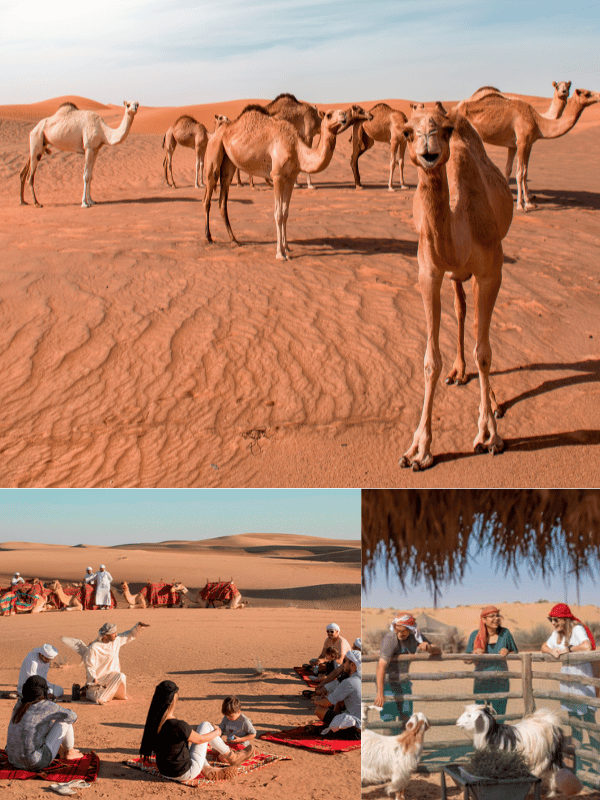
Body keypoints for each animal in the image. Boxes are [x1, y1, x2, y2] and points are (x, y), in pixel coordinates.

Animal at [203, 105, 370, 260]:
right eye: (328, 115)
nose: (343, 116)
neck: (297, 149)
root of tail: (216, 133)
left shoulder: (290, 178)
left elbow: (285, 213)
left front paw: (287, 247)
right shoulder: (277, 176)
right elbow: (278, 214)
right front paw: (280, 253)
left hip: (229, 164)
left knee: (222, 201)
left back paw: (234, 240)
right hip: (213, 153)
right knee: (207, 197)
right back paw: (208, 238)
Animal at [398, 106, 516, 468]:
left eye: (446, 130)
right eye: (407, 132)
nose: (428, 149)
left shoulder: (491, 271)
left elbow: (485, 353)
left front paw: (489, 435)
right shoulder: (429, 273)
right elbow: (429, 361)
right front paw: (419, 449)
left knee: (477, 326)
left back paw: (492, 401)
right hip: (454, 276)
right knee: (461, 309)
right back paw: (459, 371)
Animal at [454, 89, 600, 211]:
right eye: (587, 93)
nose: (599, 95)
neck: (538, 122)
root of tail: (455, 108)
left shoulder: (521, 145)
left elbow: (518, 171)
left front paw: (527, 202)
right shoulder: (522, 142)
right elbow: (519, 173)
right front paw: (520, 205)